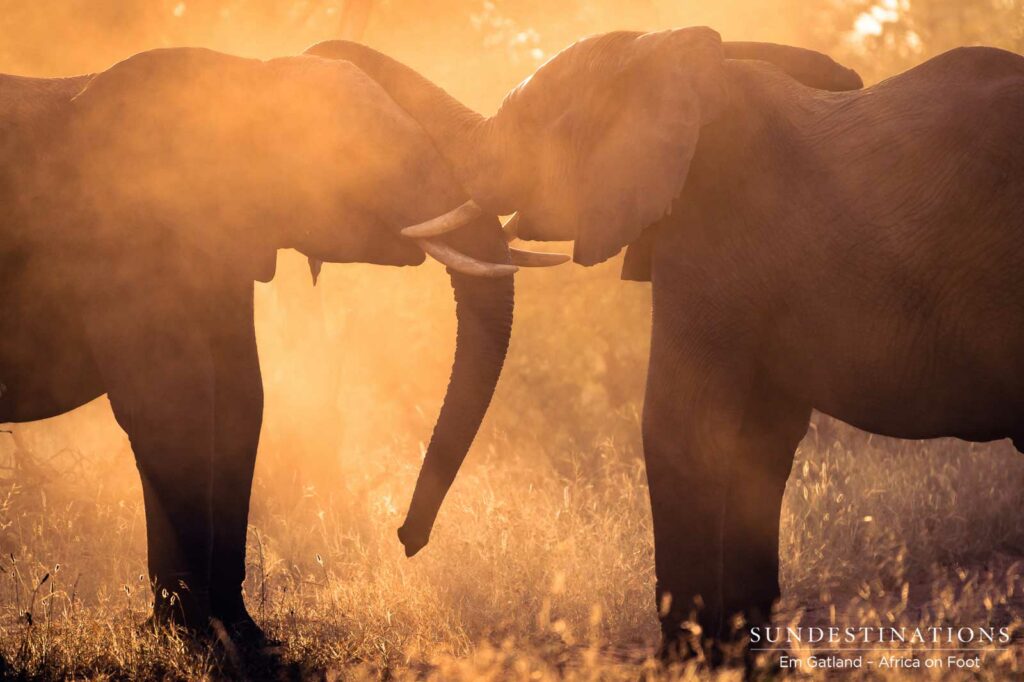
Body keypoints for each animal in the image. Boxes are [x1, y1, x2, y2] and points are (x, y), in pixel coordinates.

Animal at [0, 47, 563, 646]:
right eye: (363, 158)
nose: (406, 539)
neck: (250, 75)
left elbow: (241, 400)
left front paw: (237, 631)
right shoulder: (125, 237)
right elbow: (170, 410)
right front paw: (190, 634)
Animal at [306, 30, 1024, 658]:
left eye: (526, 126)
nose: (405, 540)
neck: (669, 57)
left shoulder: (714, 232)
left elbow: (679, 427)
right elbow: (759, 442)